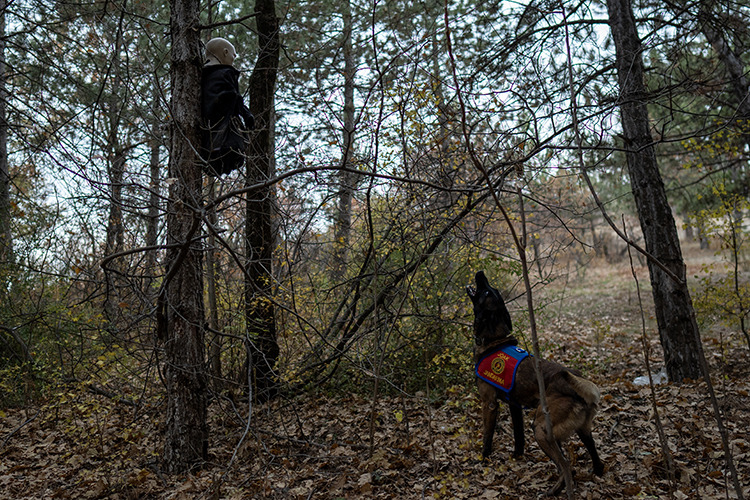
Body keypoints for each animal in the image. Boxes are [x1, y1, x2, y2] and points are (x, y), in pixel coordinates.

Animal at [468, 272, 608, 498]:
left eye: (488, 292)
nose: (480, 273)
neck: (494, 340)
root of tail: (577, 383)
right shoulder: (514, 405)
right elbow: (518, 436)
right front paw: (516, 456)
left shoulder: (489, 403)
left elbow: (488, 436)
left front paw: (483, 459)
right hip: (579, 429)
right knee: (594, 456)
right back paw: (591, 473)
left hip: (542, 429)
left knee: (566, 465)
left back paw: (555, 489)